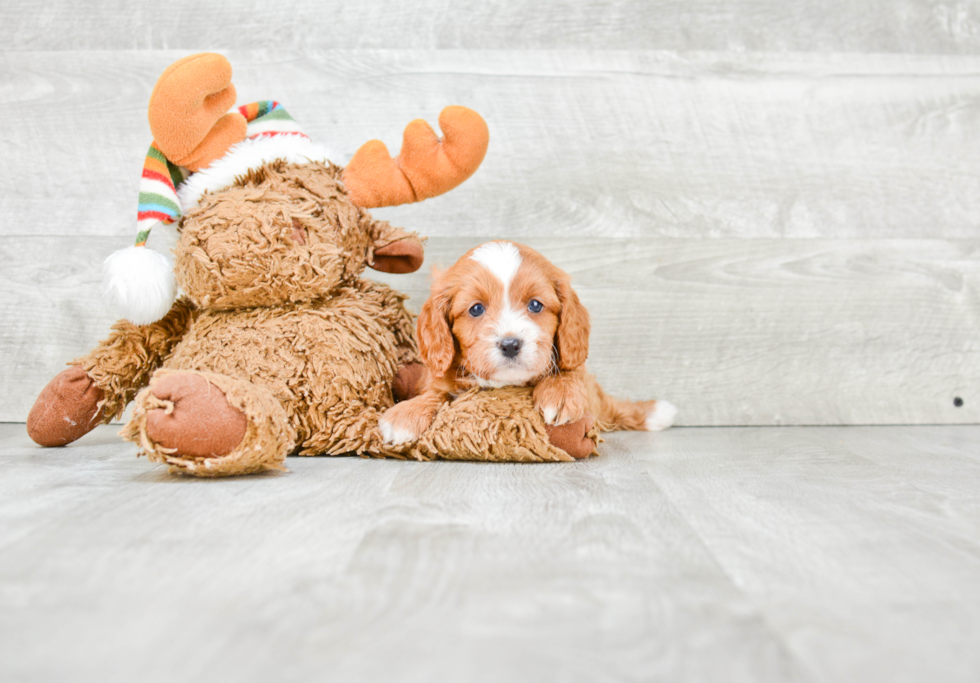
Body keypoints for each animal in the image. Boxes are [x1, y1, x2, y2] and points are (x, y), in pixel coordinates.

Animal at [378, 243, 676, 452]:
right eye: (476, 309)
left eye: (535, 305)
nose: (510, 344)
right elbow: (436, 392)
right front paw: (405, 414)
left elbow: (572, 371)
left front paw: (560, 392)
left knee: (609, 407)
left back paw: (656, 413)